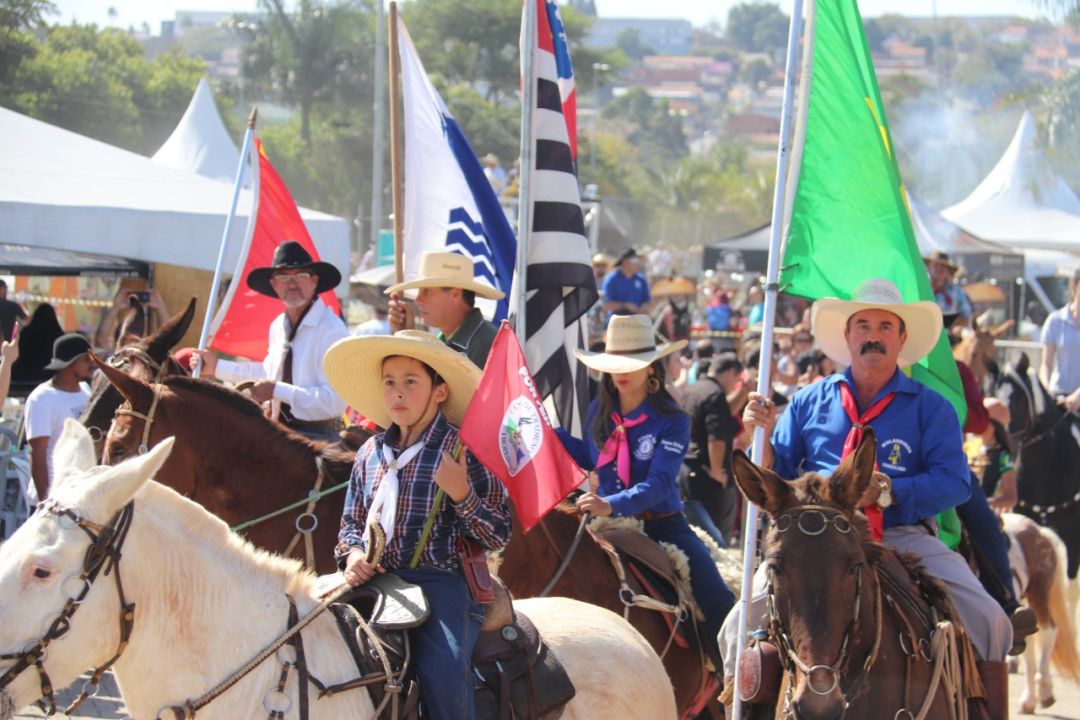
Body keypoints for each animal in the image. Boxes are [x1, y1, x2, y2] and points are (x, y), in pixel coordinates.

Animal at [1002, 511, 1080, 716]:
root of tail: (1038, 529)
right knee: (1026, 641)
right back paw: (1030, 700)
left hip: (1038, 592)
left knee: (1048, 631)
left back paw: (1044, 692)